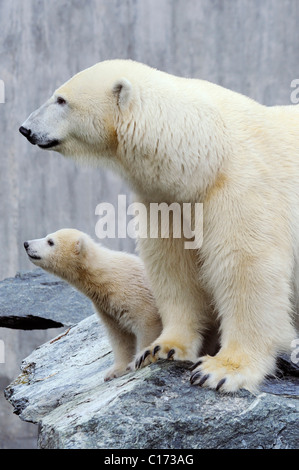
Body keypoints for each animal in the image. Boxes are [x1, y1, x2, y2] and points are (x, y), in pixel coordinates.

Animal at [19, 61, 298, 392]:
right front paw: (160, 349)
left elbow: (247, 268)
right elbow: (174, 266)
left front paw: (220, 370)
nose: (25, 129)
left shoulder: (241, 187)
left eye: (61, 100)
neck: (207, 152)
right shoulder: (167, 200)